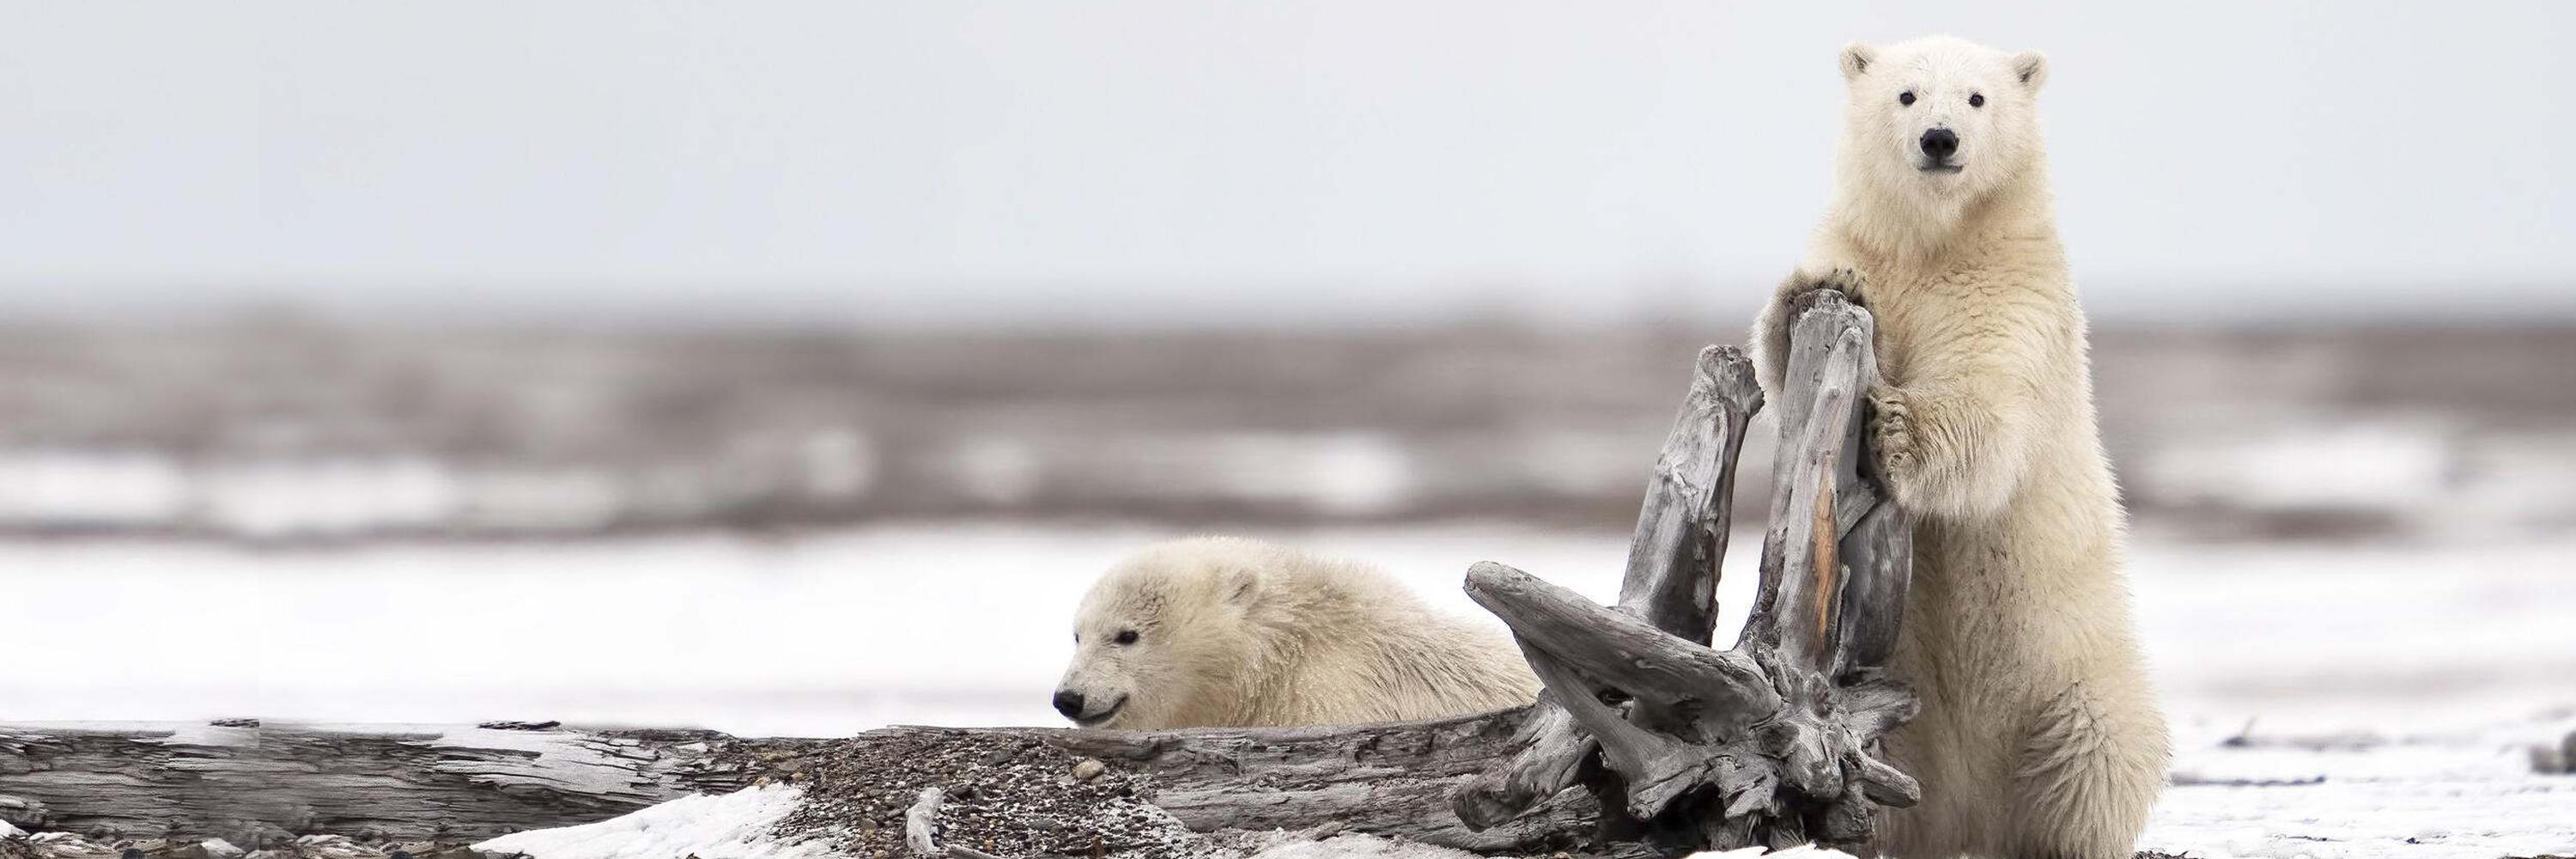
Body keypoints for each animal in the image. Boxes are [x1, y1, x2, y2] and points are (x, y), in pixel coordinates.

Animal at [1752, 34, 2174, 856]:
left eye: (1977, 97)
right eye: (1907, 95)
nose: (1940, 139)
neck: (1932, 242)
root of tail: (1973, 814)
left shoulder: (2008, 289)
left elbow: (1989, 402)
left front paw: (1893, 427)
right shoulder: (1872, 252)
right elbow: (1788, 366)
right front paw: (1807, 294)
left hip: (2073, 677)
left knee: (2099, 753)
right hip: (1879, 707)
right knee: (1883, 781)